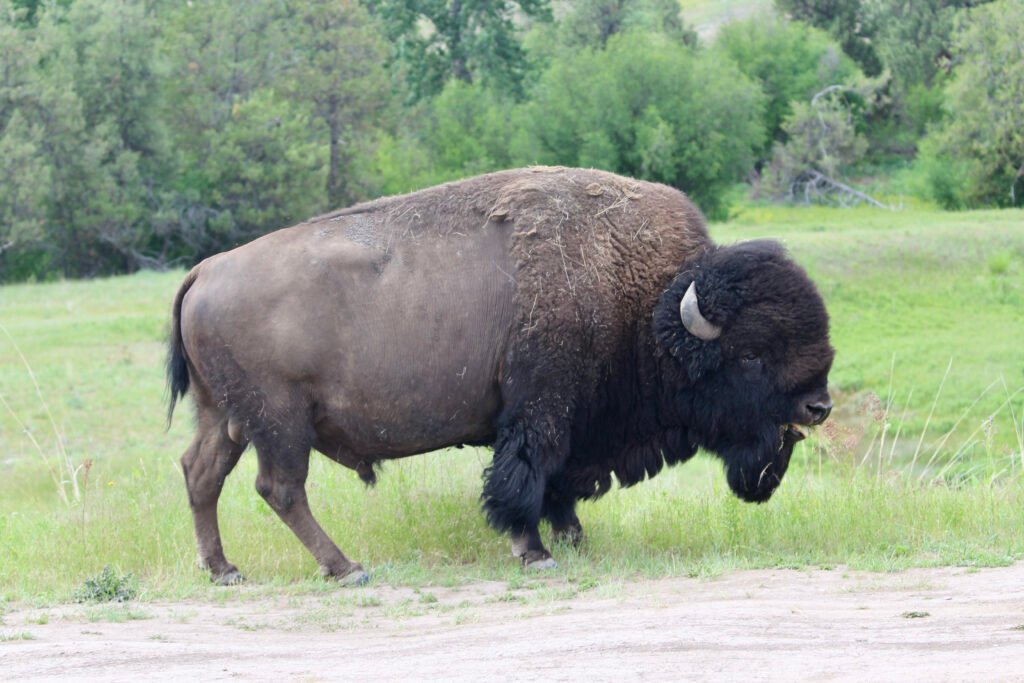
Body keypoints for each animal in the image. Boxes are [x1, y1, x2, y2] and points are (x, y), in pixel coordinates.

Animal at [167, 167, 833, 584]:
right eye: (750, 355)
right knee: (280, 487)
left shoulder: (574, 426)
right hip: (279, 422)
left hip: (224, 417)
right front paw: (534, 553)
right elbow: (527, 479)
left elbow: (560, 486)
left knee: (201, 474)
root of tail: (205, 270)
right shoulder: (540, 411)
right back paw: (346, 569)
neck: (646, 304)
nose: (817, 407)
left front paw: (574, 540)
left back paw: (224, 571)